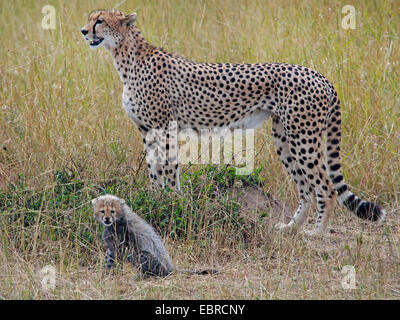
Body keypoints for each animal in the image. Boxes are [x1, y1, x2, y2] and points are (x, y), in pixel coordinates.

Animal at [80, 10, 384, 236]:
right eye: (90, 18)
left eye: (100, 20)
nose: (83, 31)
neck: (126, 56)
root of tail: (319, 74)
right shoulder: (147, 131)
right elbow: (154, 172)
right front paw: (156, 206)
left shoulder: (165, 128)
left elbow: (168, 172)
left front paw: (171, 207)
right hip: (284, 138)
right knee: (306, 189)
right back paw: (290, 228)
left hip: (303, 138)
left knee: (326, 187)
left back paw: (317, 232)